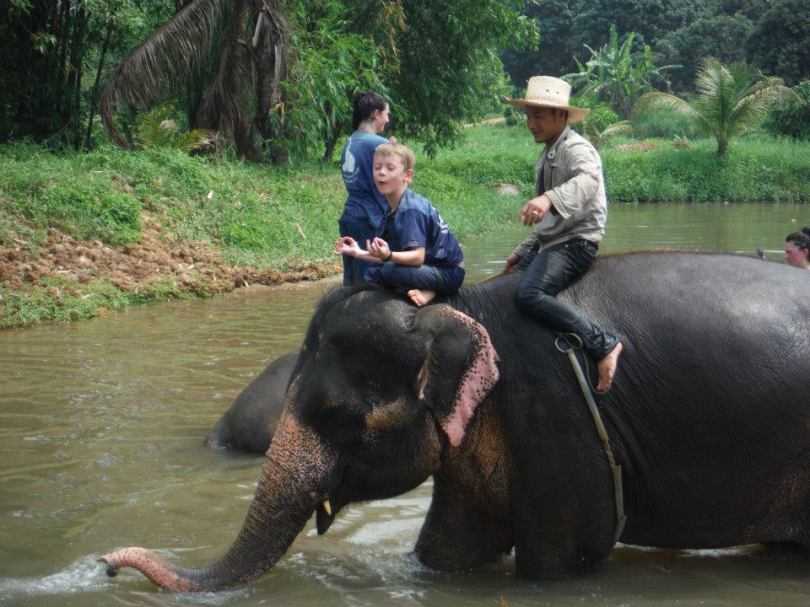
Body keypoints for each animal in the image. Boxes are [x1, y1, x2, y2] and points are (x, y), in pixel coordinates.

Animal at [101, 252, 810, 592]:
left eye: (337, 417)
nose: (106, 563)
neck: (458, 308)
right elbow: (447, 552)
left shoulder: (560, 418)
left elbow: (561, 562)